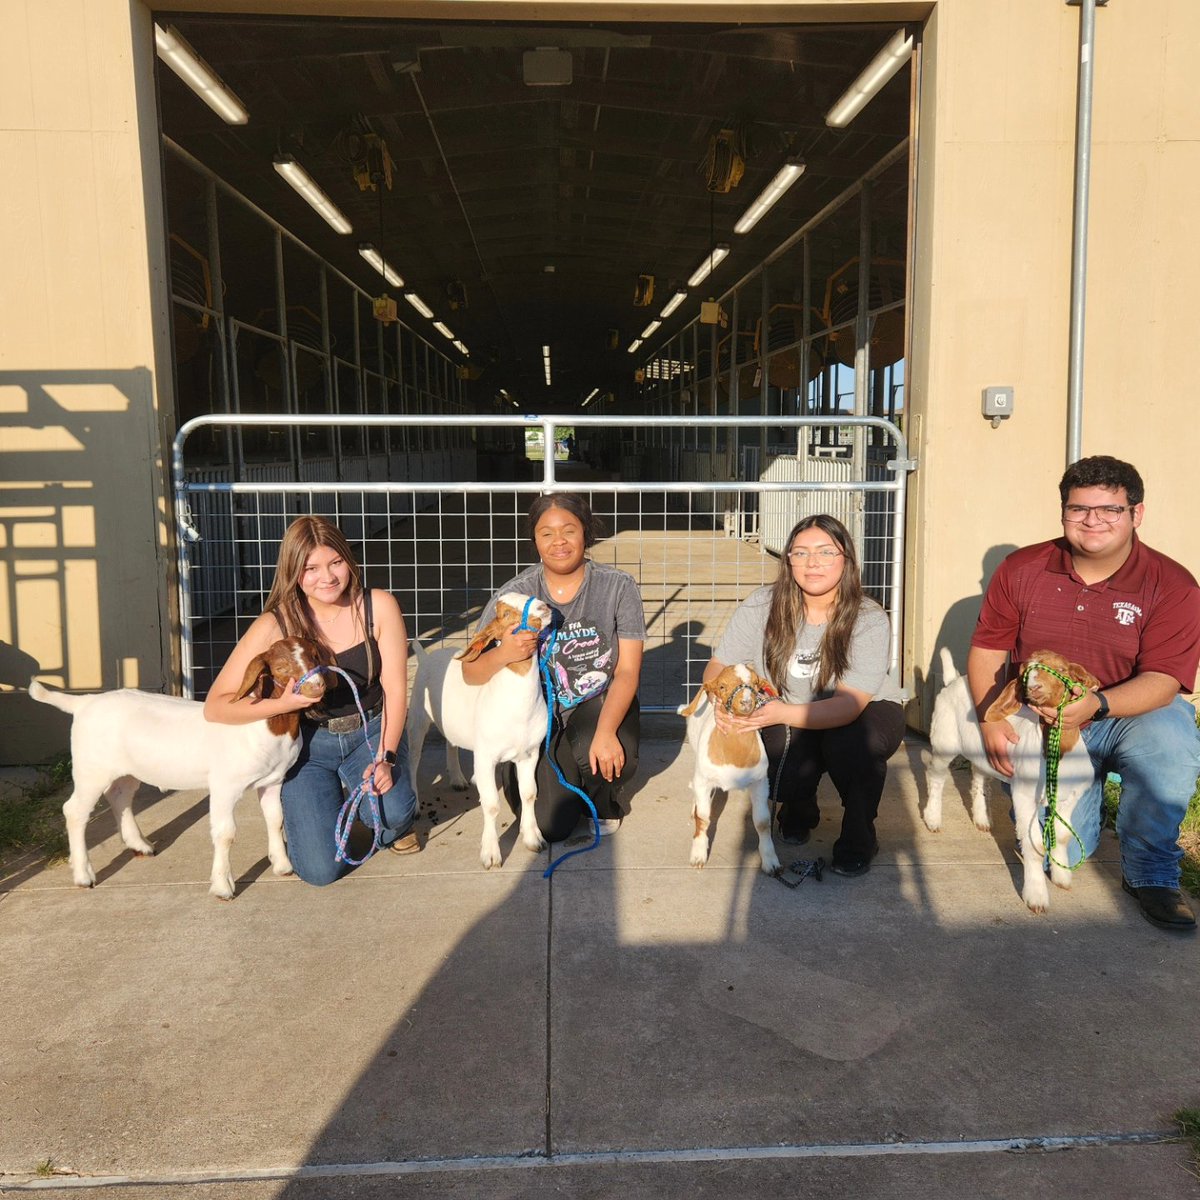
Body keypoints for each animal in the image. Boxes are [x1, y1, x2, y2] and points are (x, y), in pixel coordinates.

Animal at [28, 638, 326, 902]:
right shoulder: (225, 785)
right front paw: (222, 887)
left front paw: (282, 866)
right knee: (75, 811)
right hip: (91, 768)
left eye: (314, 655)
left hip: (127, 768)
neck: (263, 724)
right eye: (281, 665)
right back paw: (83, 875)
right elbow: (226, 833)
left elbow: (276, 819)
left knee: (119, 796)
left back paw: (140, 845)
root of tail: (84, 703)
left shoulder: (273, 780)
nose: (316, 686)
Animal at [405, 595, 549, 868]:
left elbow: (529, 793)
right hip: (417, 716)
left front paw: (533, 838)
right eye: (504, 613)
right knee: (413, 760)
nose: (544, 607)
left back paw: (458, 780)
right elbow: (492, 805)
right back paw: (416, 805)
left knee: (450, 742)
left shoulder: (530, 753)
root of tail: (426, 656)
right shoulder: (486, 757)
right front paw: (491, 854)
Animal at [921, 648, 1099, 907]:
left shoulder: (1071, 796)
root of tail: (953, 680)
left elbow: (1064, 836)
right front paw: (1036, 896)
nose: (1034, 688)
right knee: (935, 774)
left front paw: (1062, 876)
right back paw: (933, 819)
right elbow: (1034, 845)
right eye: (1024, 674)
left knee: (979, 778)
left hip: (984, 751)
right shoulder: (1024, 795)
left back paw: (982, 819)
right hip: (945, 740)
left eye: (1062, 670)